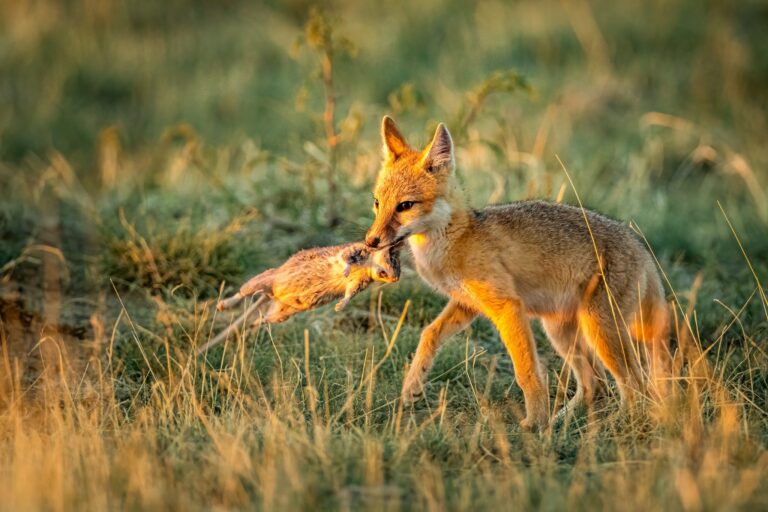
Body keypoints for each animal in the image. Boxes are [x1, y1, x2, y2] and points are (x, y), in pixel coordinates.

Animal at [197, 242, 401, 355]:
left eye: (398, 268)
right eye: (393, 260)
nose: (396, 279)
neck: (368, 266)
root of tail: (272, 295)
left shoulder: (360, 282)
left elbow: (351, 291)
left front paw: (340, 305)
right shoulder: (354, 250)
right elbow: (344, 257)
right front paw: (345, 270)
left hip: (282, 312)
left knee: (265, 318)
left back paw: (254, 325)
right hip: (263, 280)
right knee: (243, 291)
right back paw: (223, 305)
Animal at [364, 116, 671, 429]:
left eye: (405, 206)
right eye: (377, 203)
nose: (371, 241)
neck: (456, 238)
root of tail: (640, 246)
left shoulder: (507, 307)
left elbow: (527, 372)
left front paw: (533, 423)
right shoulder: (467, 303)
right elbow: (429, 332)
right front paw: (413, 385)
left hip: (600, 331)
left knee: (635, 384)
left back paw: (616, 425)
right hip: (562, 332)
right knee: (594, 385)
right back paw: (560, 423)